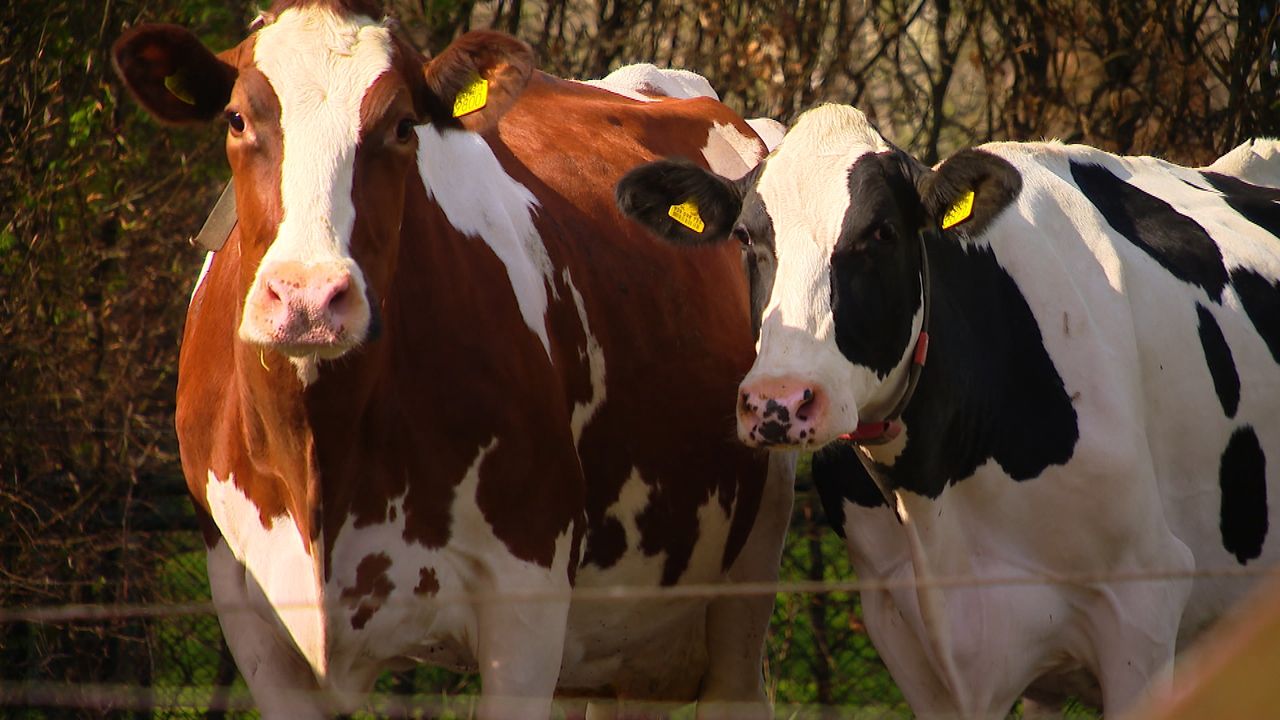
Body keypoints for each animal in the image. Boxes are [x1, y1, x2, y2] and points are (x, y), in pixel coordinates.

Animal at [111, 2, 796, 717]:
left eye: (402, 125)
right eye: (238, 119)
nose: (308, 297)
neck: (321, 454)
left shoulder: (527, 600)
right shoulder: (254, 620)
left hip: (742, 590)